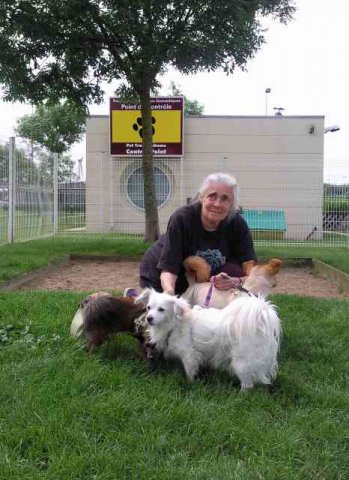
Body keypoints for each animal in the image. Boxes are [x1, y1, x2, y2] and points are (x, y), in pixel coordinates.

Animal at [136, 288, 280, 390]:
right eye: (148, 308)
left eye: (161, 310)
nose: (149, 318)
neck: (177, 324)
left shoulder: (189, 355)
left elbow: (189, 372)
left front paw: (190, 384)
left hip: (241, 362)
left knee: (247, 384)